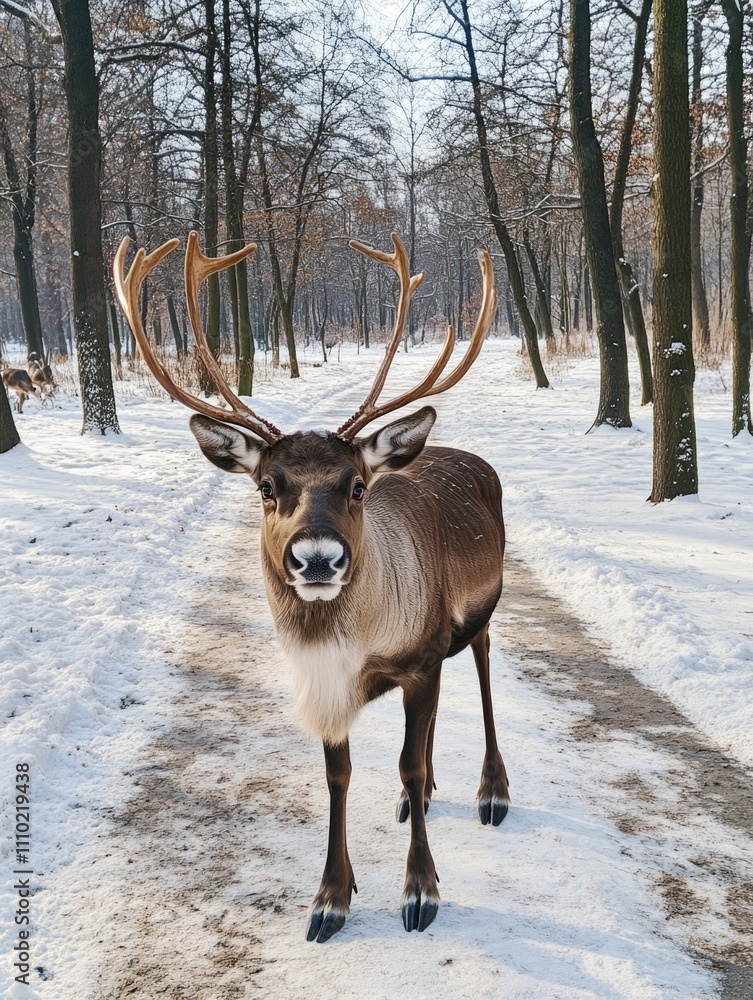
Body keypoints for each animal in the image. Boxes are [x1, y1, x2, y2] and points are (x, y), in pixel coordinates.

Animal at [113, 231, 510, 944]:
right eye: (267, 488)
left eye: (356, 486)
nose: (318, 559)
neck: (356, 647)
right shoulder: (334, 680)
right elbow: (339, 774)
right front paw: (332, 896)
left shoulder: (421, 654)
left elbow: (406, 757)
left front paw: (421, 890)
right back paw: (419, 798)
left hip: (483, 612)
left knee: (485, 672)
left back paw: (491, 791)